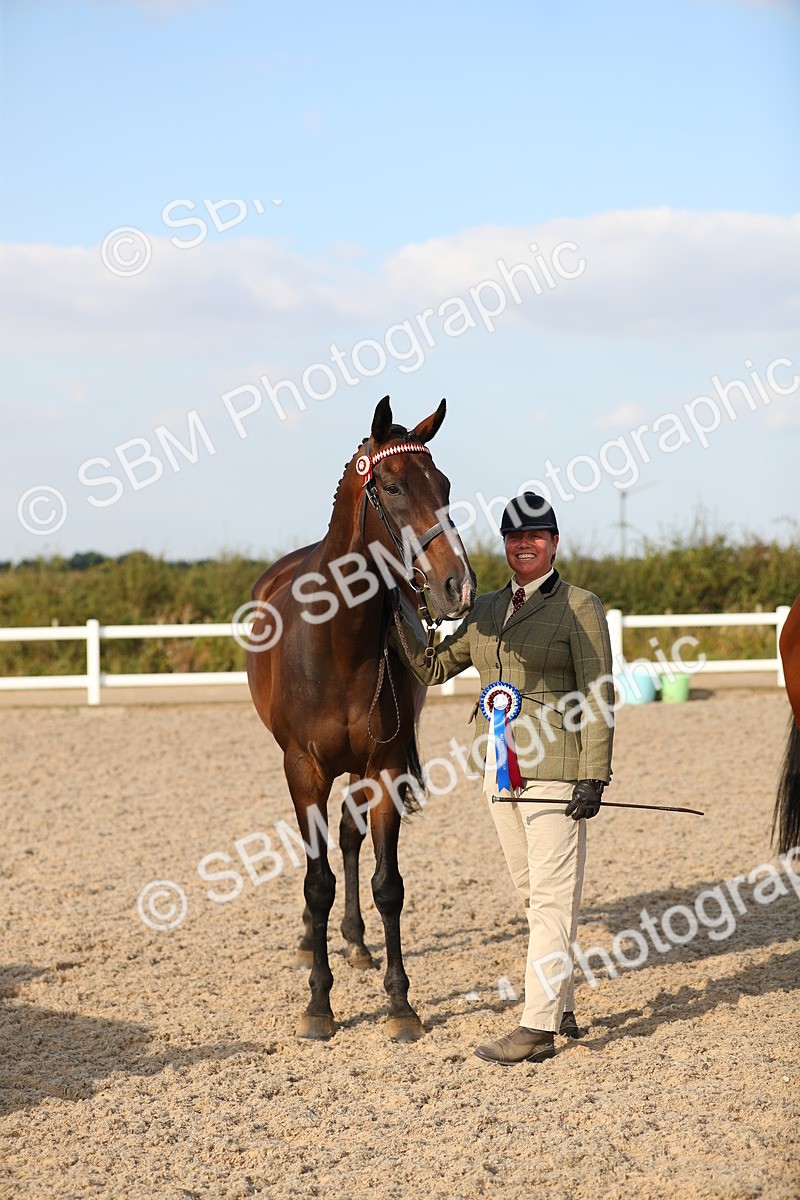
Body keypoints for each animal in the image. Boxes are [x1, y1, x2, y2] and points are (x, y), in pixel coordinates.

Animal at [246, 396, 476, 1041]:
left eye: (445, 485)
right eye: (392, 487)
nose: (457, 586)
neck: (339, 642)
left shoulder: (386, 768)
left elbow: (387, 885)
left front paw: (400, 1004)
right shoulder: (304, 771)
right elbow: (316, 880)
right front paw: (318, 1005)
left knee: (348, 840)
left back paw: (353, 943)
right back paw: (313, 941)